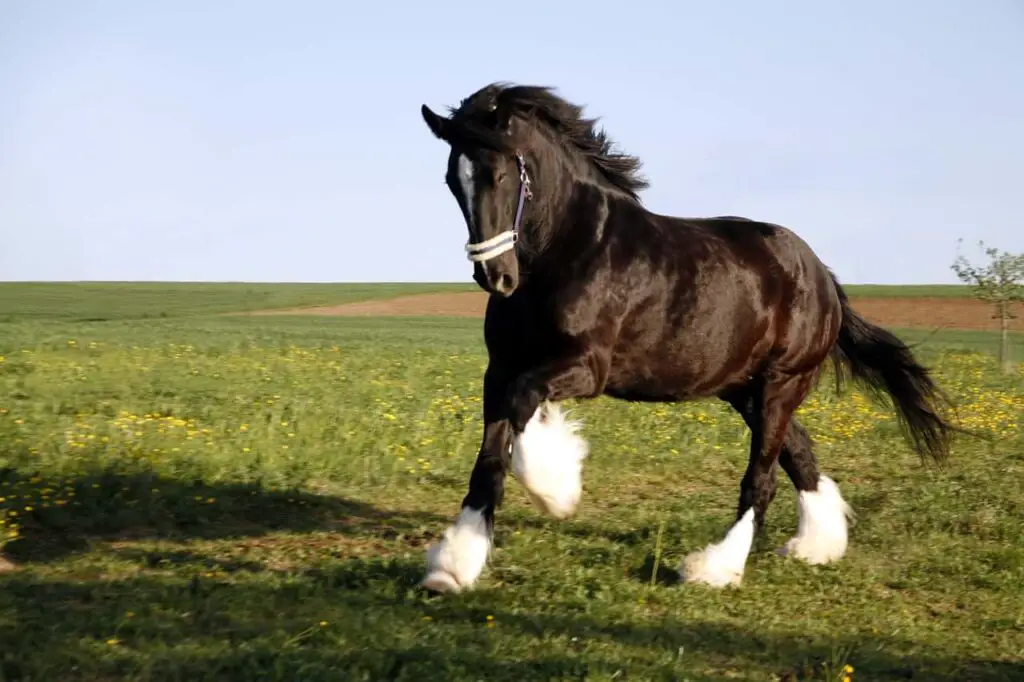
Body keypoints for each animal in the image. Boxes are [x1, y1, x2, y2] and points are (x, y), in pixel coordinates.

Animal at [413, 78, 950, 589]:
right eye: (452, 180)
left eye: (500, 174)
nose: (495, 277)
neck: (568, 249)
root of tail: (822, 277)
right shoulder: (500, 368)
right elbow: (489, 460)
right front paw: (452, 568)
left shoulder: (587, 367)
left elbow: (524, 409)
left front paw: (558, 491)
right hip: (746, 390)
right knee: (799, 455)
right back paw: (817, 545)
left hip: (782, 383)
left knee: (762, 479)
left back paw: (714, 568)